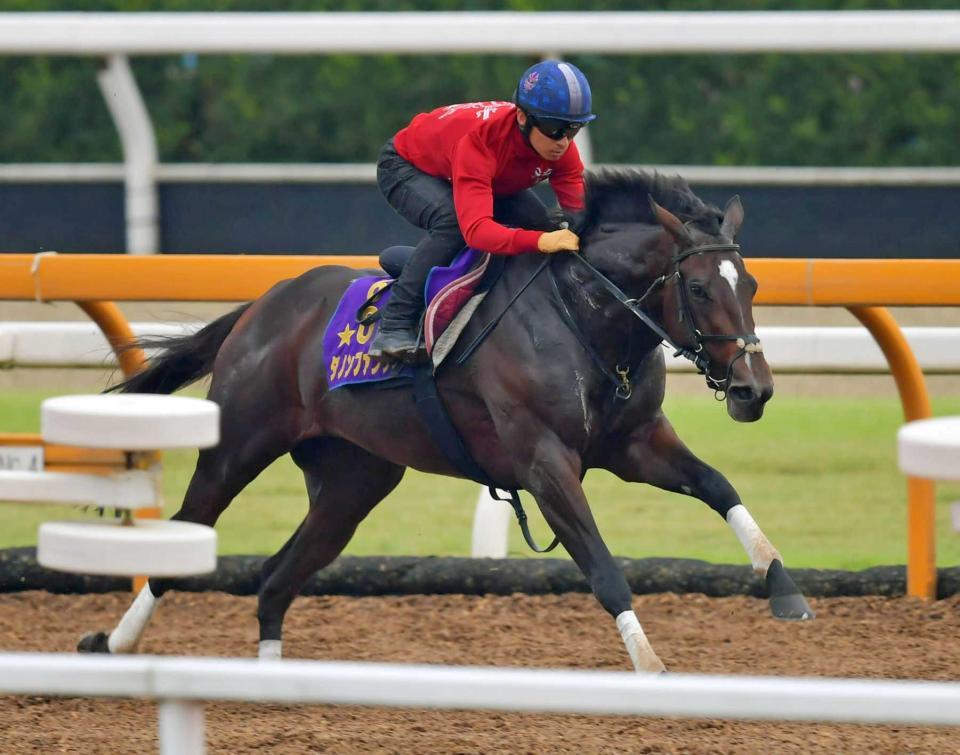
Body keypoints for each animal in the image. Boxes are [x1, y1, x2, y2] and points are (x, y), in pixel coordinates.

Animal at [84, 171, 816, 672]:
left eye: (751, 285)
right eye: (698, 288)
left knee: (274, 578)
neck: (586, 318)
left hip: (354, 482)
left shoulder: (635, 444)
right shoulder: (545, 463)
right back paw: (111, 641)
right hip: (239, 442)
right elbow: (604, 567)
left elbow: (719, 486)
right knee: (184, 539)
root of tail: (262, 306)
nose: (754, 388)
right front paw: (651, 664)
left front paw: (784, 587)